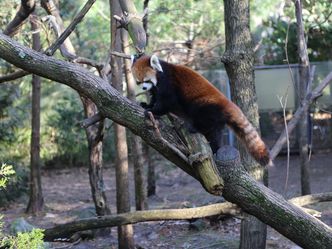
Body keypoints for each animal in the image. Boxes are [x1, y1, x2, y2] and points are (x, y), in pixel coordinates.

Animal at [131, 54, 272, 167]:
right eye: (138, 82)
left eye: (147, 80)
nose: (144, 88)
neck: (161, 74)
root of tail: (227, 103)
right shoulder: (156, 89)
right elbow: (155, 98)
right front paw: (146, 105)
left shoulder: (168, 83)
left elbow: (166, 103)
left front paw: (153, 111)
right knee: (215, 134)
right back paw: (215, 148)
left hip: (205, 105)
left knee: (205, 121)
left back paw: (195, 128)